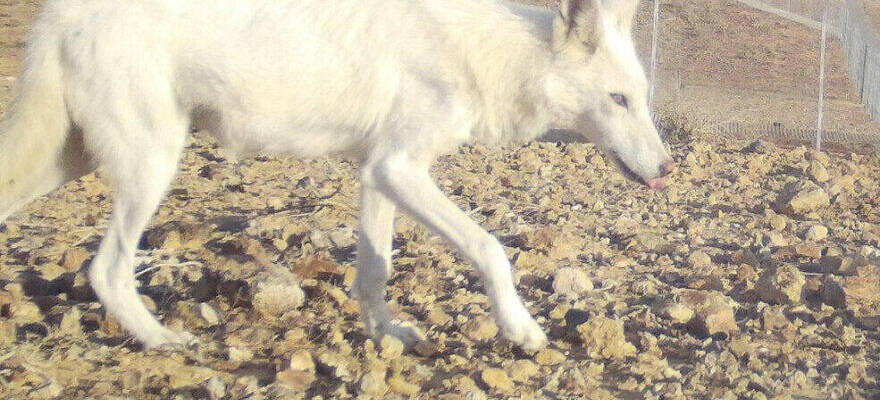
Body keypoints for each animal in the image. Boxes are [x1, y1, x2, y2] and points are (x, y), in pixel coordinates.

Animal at [0, 0, 673, 352]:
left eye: (641, 98)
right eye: (618, 101)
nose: (668, 170)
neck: (491, 56)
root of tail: (56, 15)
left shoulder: (377, 173)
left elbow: (374, 271)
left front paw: (386, 336)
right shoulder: (399, 168)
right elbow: (491, 249)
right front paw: (523, 328)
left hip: (71, 160)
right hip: (152, 162)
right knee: (106, 270)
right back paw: (167, 342)